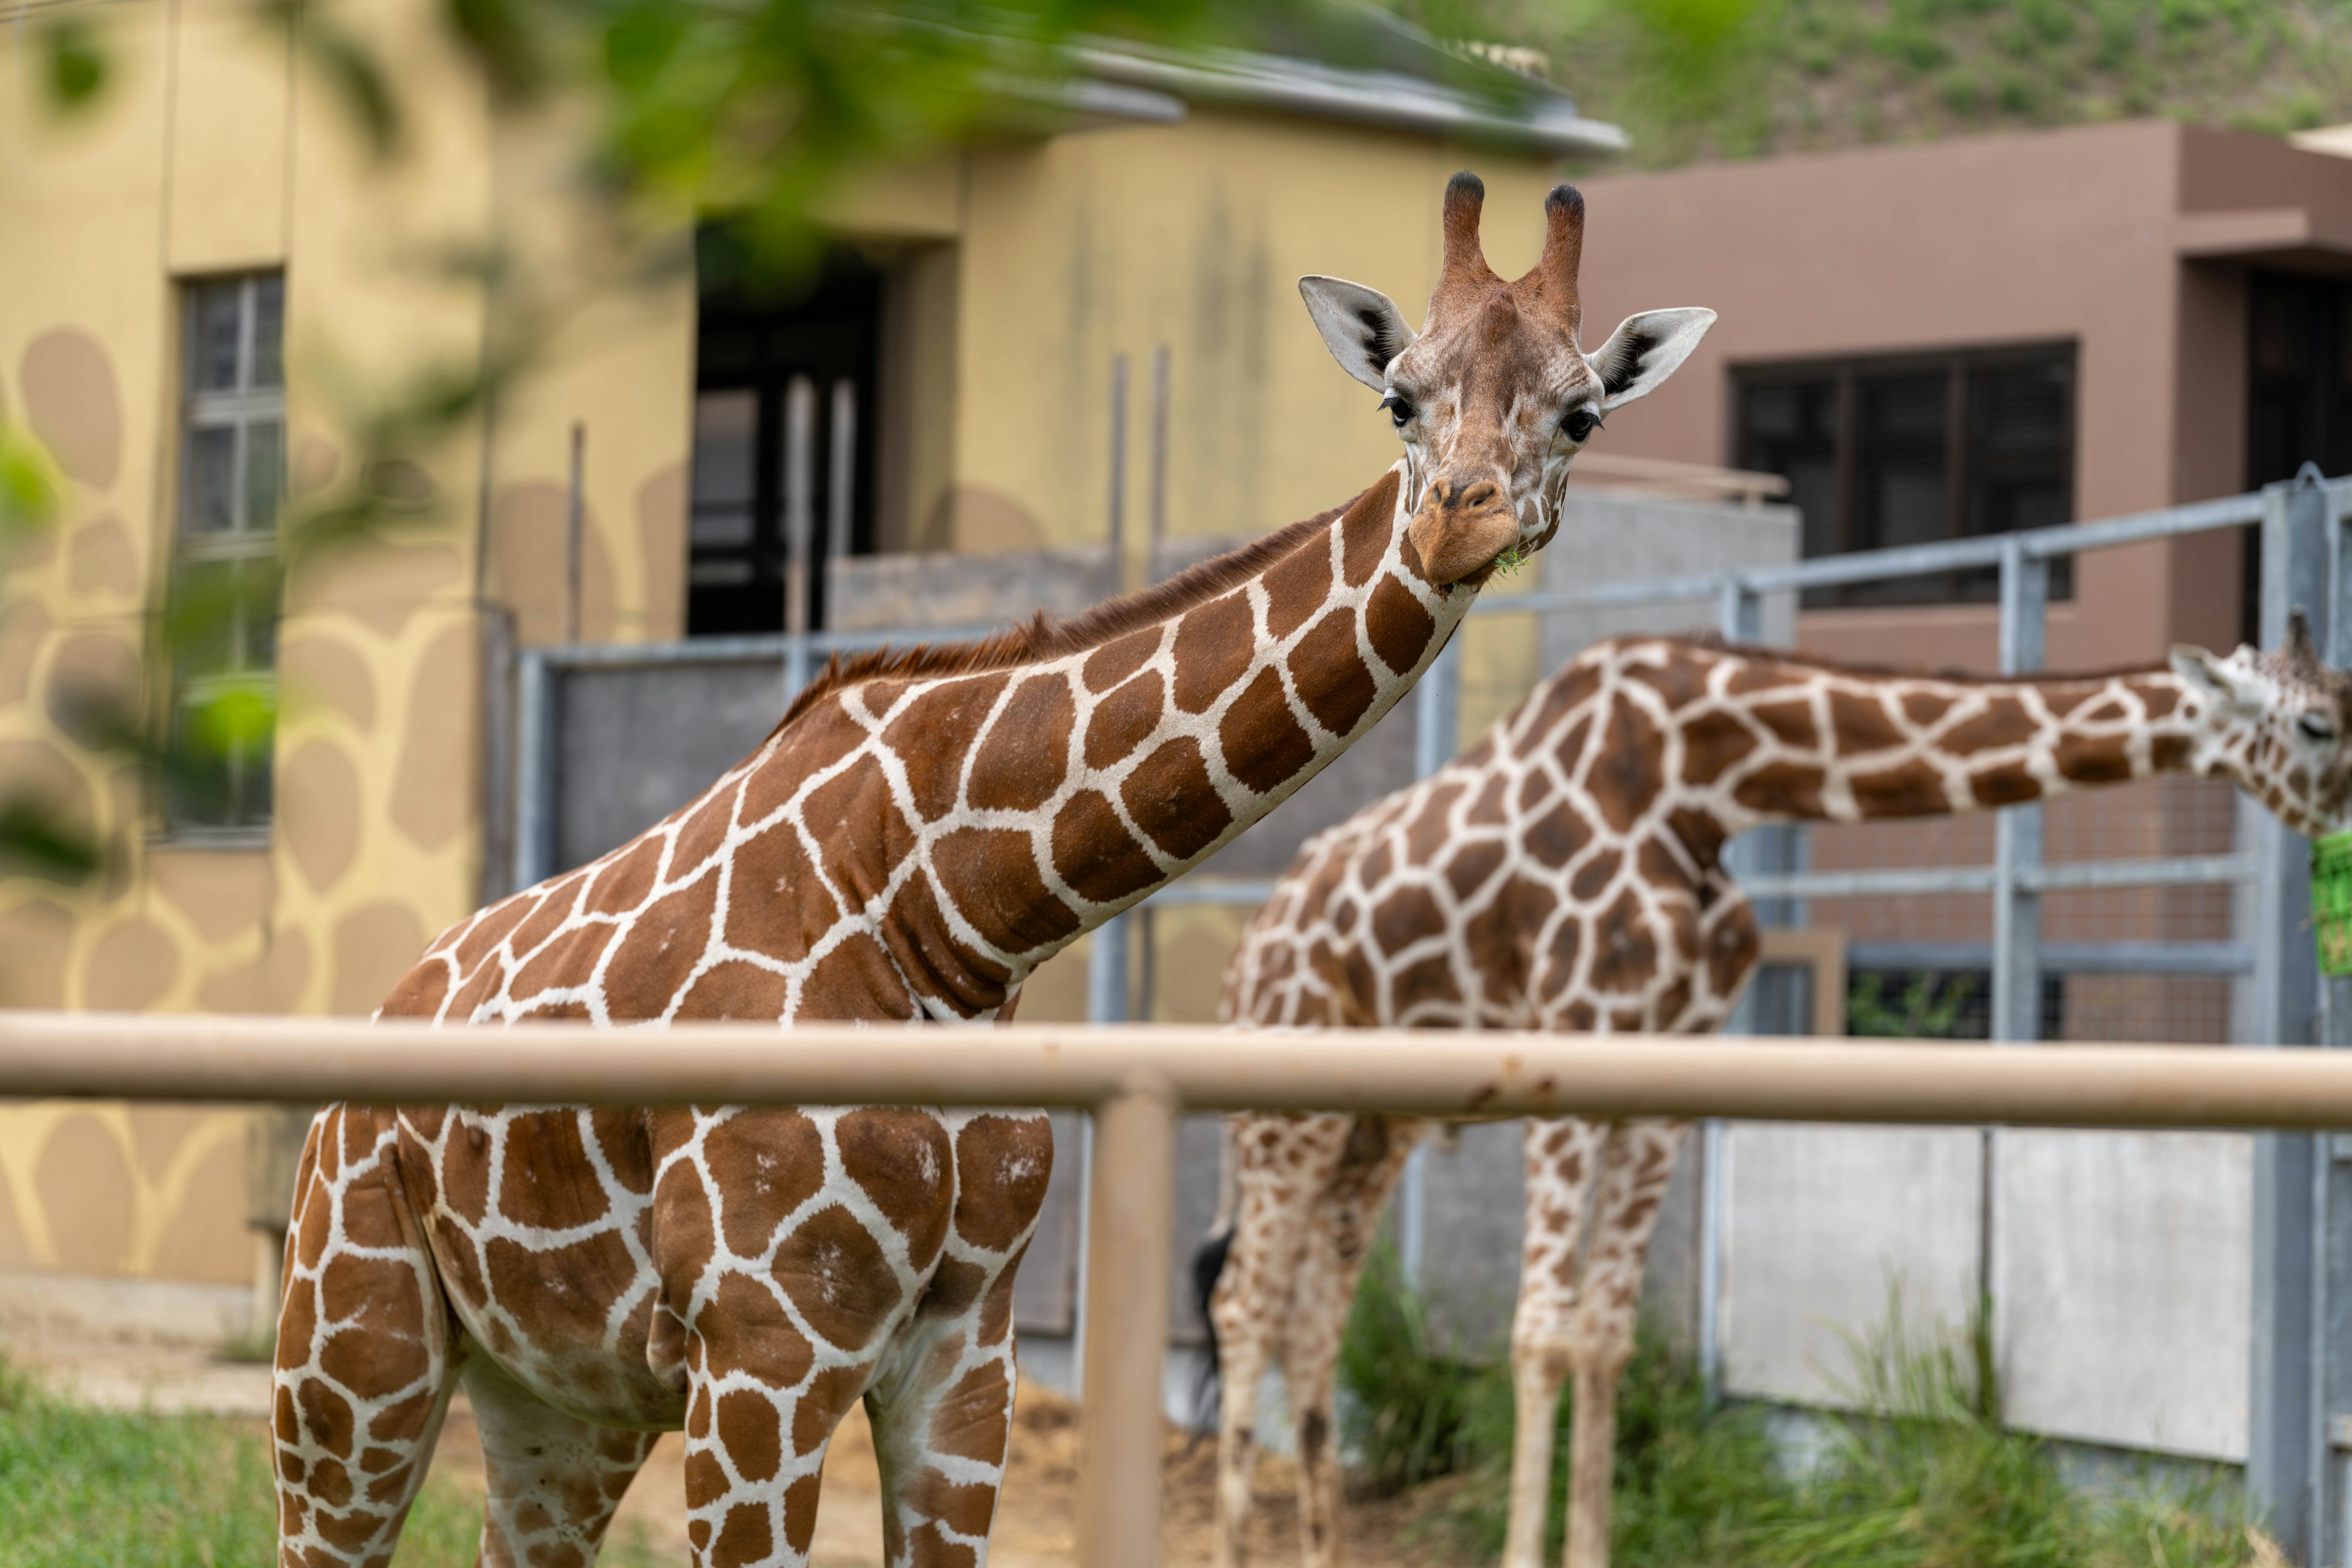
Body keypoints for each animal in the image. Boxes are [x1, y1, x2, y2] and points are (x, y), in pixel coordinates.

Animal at [270, 175, 1712, 1568]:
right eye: (1398, 397)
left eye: (1582, 414)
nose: (1461, 519)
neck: (954, 922)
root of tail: (375, 1030)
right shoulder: (765, 1349)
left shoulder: (968, 1353)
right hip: (352, 1346)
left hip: (559, 1397)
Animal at [1204, 620, 2352, 1561]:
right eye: (2319, 724)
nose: (2348, 830)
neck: (1704, 784)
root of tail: (1244, 955)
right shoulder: (1572, 1040)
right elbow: (1538, 1333)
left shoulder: (1663, 1084)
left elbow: (1604, 1338)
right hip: (1285, 1114)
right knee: (1243, 1305)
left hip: (1372, 1127)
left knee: (1313, 1320)